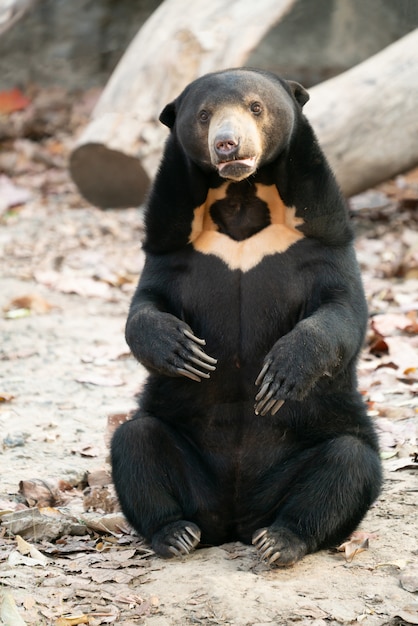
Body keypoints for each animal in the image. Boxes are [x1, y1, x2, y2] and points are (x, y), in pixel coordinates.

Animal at [111, 68, 382, 564]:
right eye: (204, 115)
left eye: (256, 107)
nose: (227, 145)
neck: (240, 199)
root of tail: (235, 522)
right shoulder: (169, 243)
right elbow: (144, 306)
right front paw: (181, 350)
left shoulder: (324, 238)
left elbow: (343, 311)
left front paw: (281, 373)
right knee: (136, 440)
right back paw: (175, 533)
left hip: (313, 445)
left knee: (348, 461)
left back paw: (281, 539)